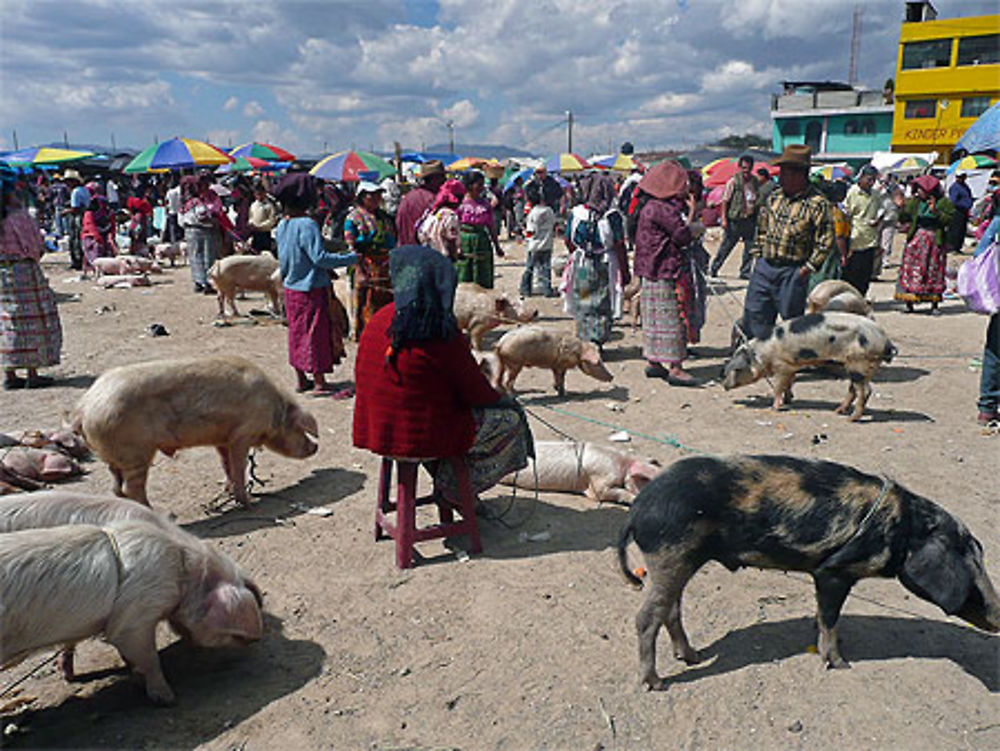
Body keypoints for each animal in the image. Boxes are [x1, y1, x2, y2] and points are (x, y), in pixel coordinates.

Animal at [0, 516, 264, 704]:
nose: (256, 639)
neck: (182, 575)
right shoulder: (136, 616)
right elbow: (149, 657)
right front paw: (167, 697)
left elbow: (130, 657)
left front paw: (136, 681)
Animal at [70, 356, 318, 508]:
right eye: (301, 429)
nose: (315, 447)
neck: (273, 410)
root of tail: (84, 407)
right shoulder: (242, 434)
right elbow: (239, 465)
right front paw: (246, 503)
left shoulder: (223, 438)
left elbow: (226, 464)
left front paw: (228, 491)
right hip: (134, 451)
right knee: (132, 487)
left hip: (114, 455)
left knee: (115, 483)